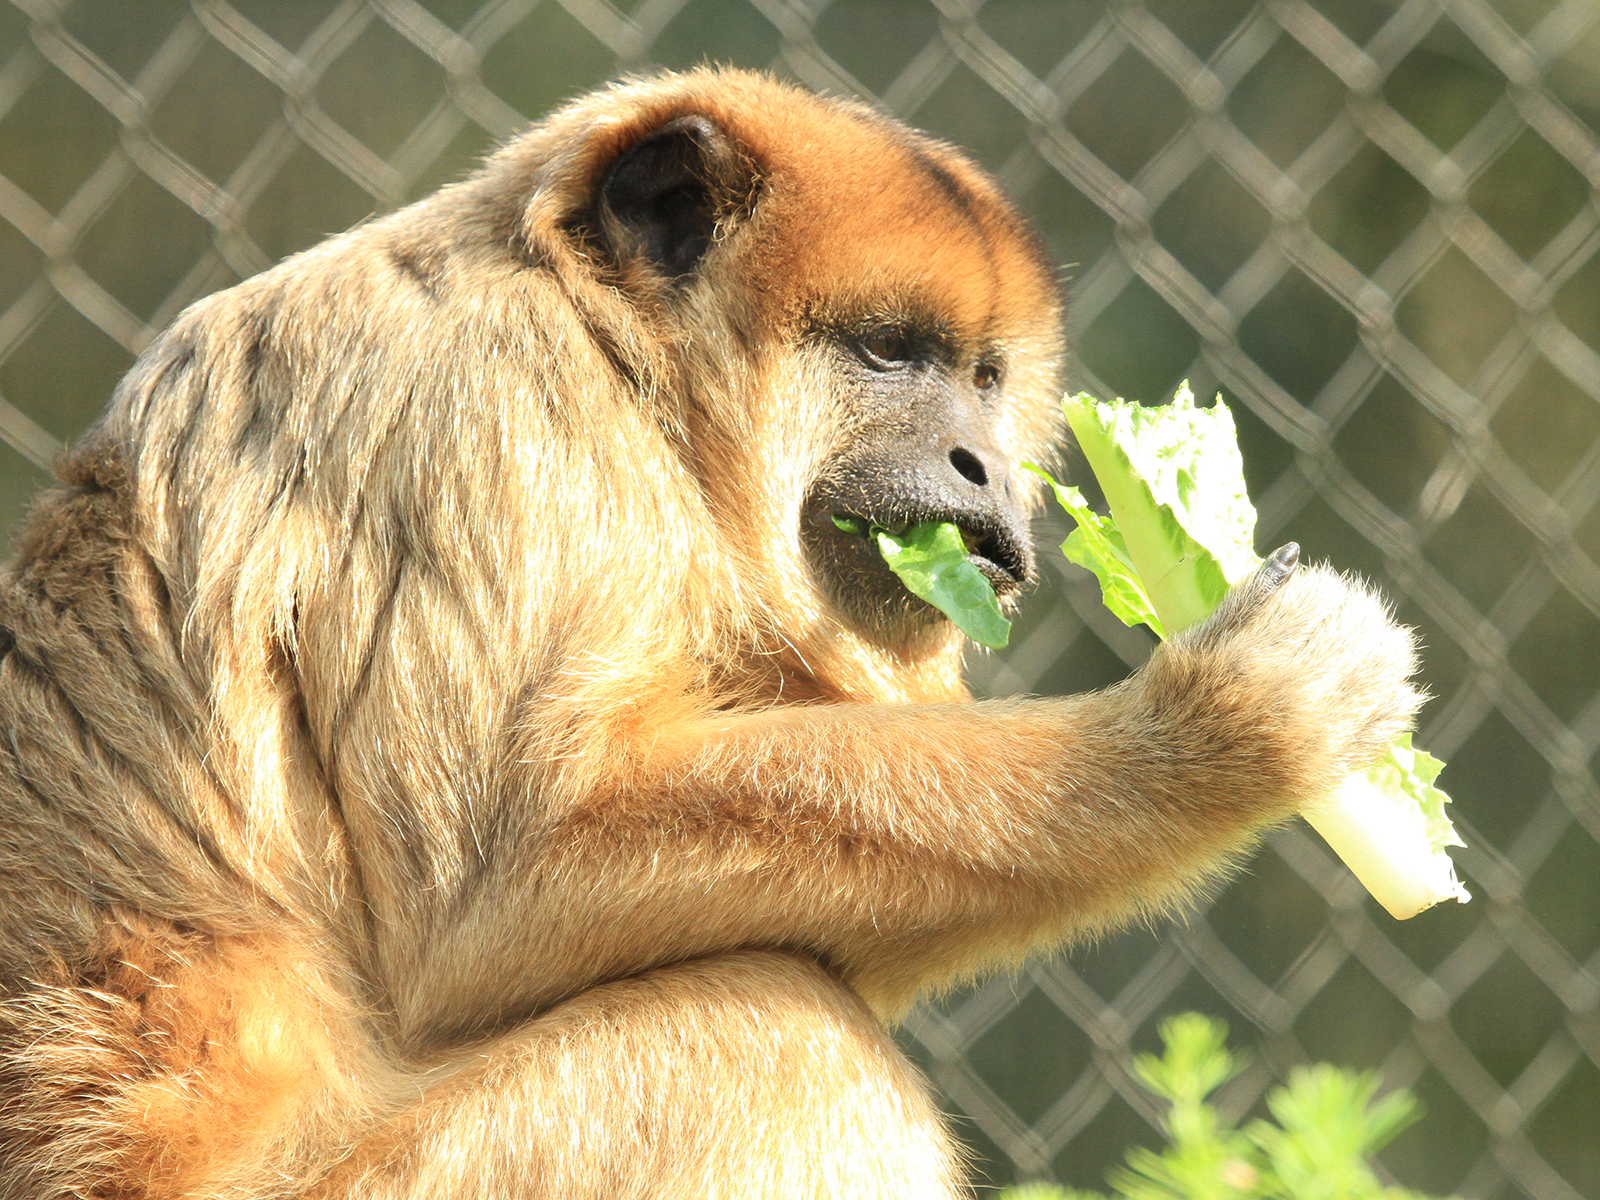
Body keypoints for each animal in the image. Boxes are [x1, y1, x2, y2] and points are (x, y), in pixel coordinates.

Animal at [0, 68, 1419, 1199]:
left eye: (983, 378)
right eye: (888, 354)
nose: (984, 464)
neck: (621, 368)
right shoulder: (473, 410)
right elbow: (497, 882)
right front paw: (1212, 732)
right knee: (779, 1039)